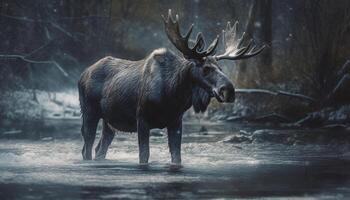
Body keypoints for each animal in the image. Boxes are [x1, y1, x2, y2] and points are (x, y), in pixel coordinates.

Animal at [78, 10, 266, 165]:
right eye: (205, 68)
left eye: (220, 68)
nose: (229, 90)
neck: (173, 95)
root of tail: (83, 74)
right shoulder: (142, 119)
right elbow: (144, 156)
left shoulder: (176, 121)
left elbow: (177, 157)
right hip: (89, 113)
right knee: (86, 149)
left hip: (109, 122)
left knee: (100, 148)